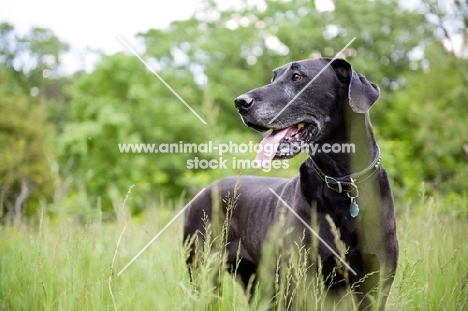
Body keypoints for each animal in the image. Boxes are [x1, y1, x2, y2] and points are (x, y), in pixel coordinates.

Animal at [183, 58, 398, 310]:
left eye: (297, 76)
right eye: (274, 77)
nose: (240, 102)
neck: (342, 183)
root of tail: (203, 192)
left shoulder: (377, 285)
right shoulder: (302, 281)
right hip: (204, 273)